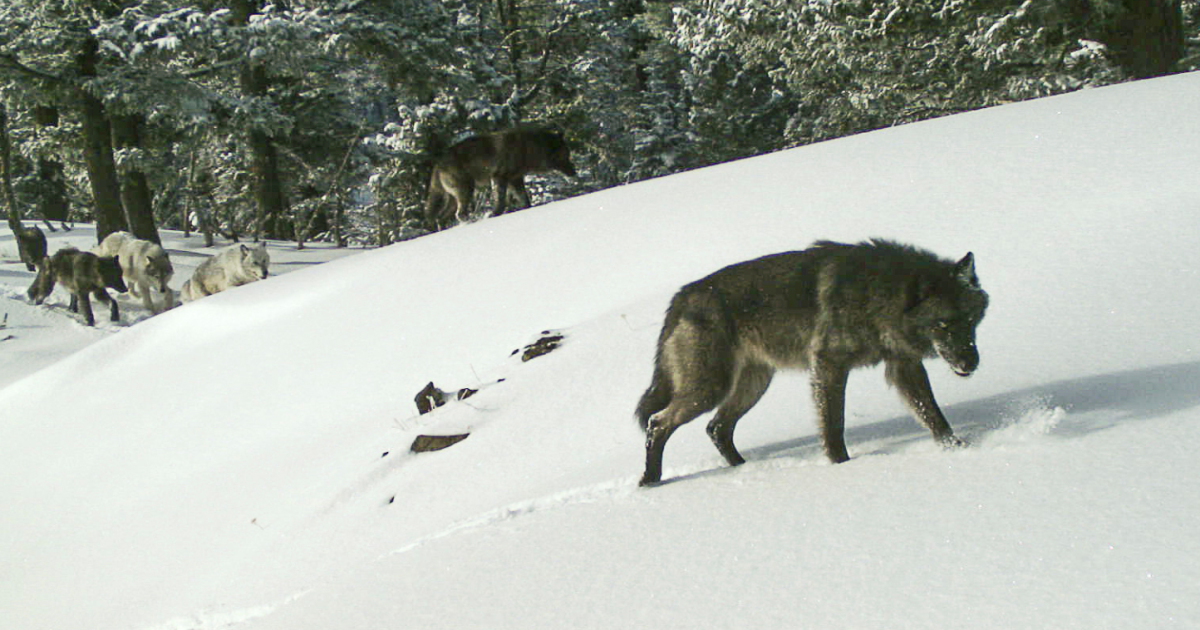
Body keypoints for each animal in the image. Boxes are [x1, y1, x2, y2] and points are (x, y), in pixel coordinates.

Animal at [425, 127, 577, 228]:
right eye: (566, 156)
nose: (574, 172)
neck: (527, 148)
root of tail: (437, 164)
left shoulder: (515, 179)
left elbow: (524, 199)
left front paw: (527, 209)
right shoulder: (499, 178)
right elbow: (501, 201)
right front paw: (494, 215)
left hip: (454, 198)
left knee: (441, 218)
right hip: (466, 191)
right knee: (459, 214)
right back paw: (472, 222)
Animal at [635, 239, 989, 486]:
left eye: (971, 321)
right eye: (943, 325)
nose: (970, 363)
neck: (878, 294)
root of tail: (682, 295)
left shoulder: (904, 366)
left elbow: (934, 416)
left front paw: (958, 449)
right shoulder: (828, 366)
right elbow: (833, 425)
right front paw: (841, 466)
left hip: (753, 385)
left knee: (717, 427)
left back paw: (744, 468)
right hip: (710, 389)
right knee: (657, 423)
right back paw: (650, 481)